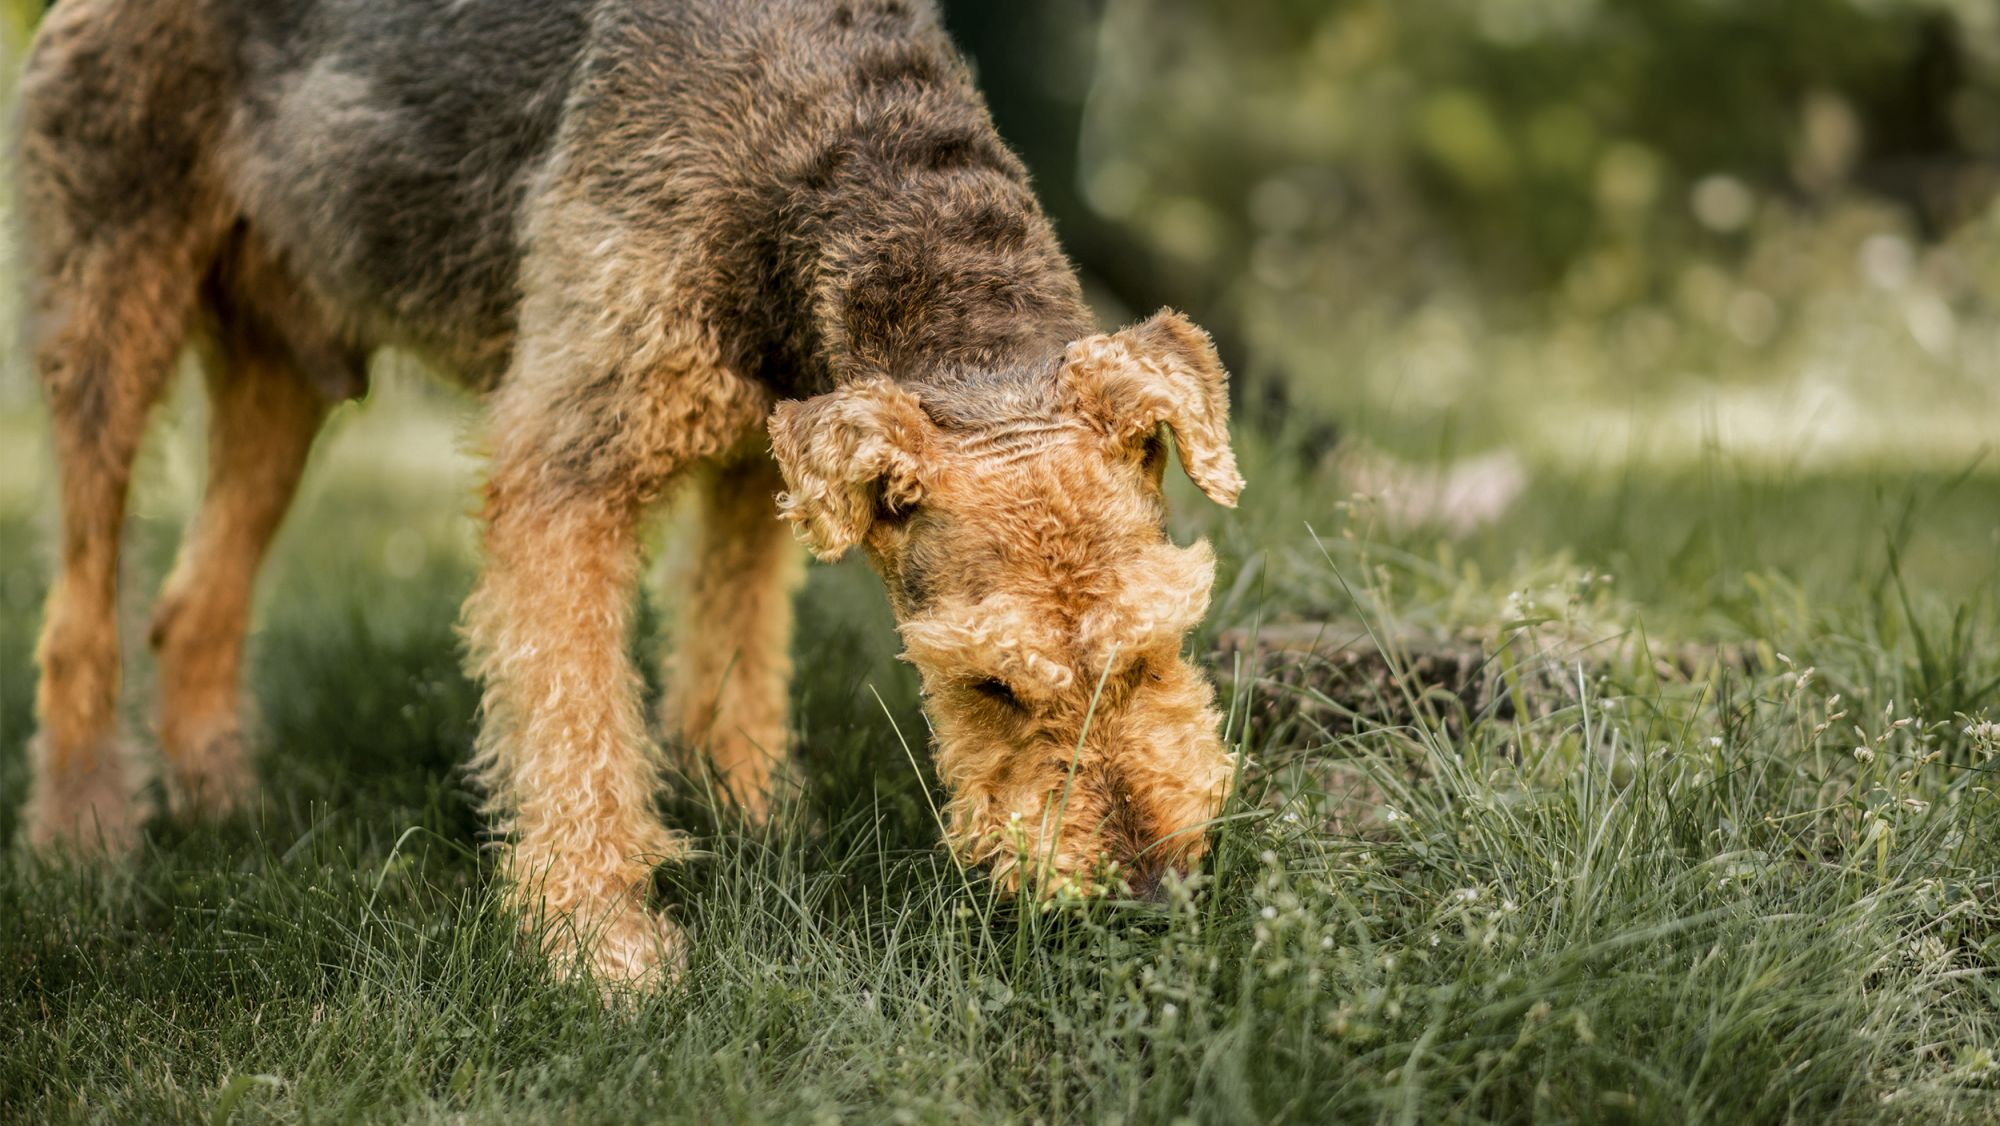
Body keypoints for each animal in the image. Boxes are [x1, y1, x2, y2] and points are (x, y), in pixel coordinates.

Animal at [15, 0, 1240, 988]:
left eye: (1157, 647)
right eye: (986, 683)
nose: (1148, 894)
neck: (821, 132)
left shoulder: (765, 454)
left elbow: (732, 653)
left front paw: (751, 813)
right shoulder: (565, 466)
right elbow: (574, 723)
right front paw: (601, 947)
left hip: (285, 368)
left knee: (194, 606)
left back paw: (224, 800)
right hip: (112, 305)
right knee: (80, 611)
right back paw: (86, 832)